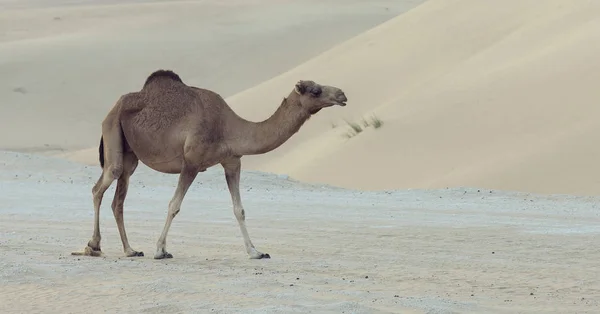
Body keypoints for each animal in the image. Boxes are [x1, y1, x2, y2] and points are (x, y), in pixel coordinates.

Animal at [71, 69, 346, 260]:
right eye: (315, 90)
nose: (342, 94)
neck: (229, 127)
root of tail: (113, 107)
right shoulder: (191, 162)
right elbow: (174, 205)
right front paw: (160, 250)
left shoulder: (232, 162)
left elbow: (239, 209)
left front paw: (256, 252)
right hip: (112, 132)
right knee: (101, 185)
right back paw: (93, 246)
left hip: (131, 155)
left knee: (118, 199)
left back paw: (130, 250)